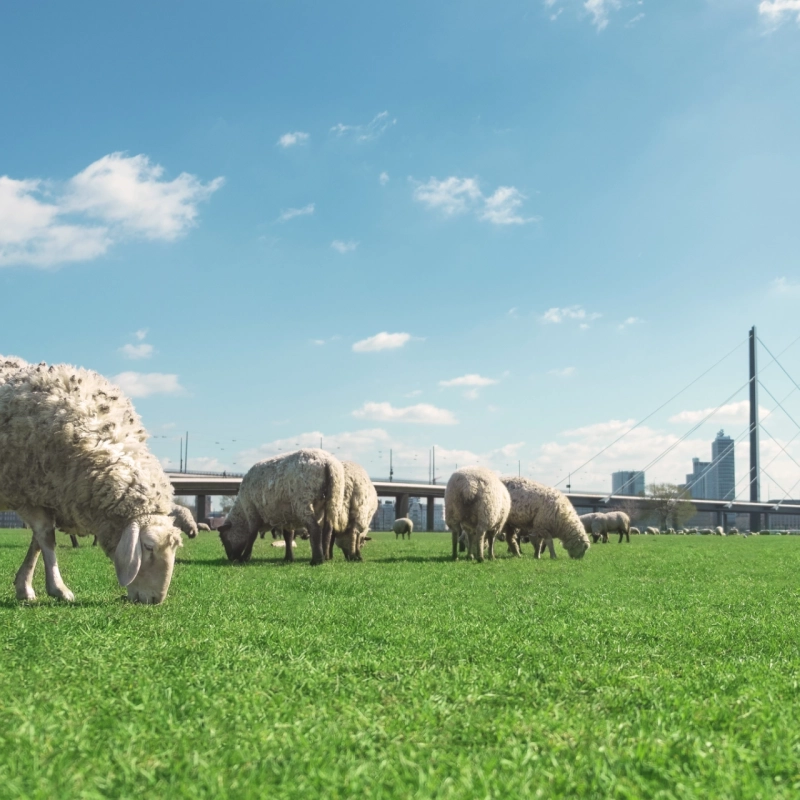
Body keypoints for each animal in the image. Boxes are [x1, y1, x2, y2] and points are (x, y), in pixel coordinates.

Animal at [0, 358, 183, 604]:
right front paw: (58, 589)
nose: (156, 600)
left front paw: (24, 586)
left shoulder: (47, 493)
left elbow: (37, 542)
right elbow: (46, 537)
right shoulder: (24, 490)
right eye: (148, 546)